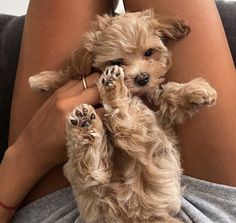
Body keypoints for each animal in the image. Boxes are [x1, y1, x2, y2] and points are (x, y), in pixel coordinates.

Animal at [29, 9, 218, 222]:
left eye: (149, 52)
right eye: (117, 61)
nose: (142, 78)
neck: (140, 93)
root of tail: (133, 213)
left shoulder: (158, 102)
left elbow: (167, 93)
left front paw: (197, 91)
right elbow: (73, 73)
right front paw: (43, 80)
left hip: (153, 153)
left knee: (121, 128)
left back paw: (107, 96)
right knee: (93, 170)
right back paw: (91, 116)